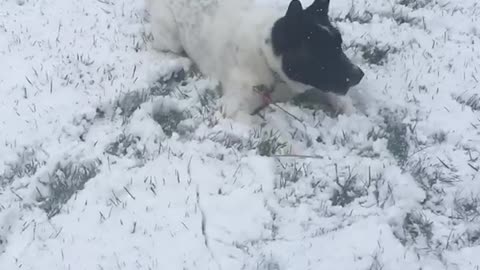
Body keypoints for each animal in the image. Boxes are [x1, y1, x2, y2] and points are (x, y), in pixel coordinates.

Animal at [146, 0, 364, 121]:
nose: (359, 75)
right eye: (322, 52)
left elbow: (337, 96)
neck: (266, 53)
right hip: (171, 38)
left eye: (339, 45)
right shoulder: (233, 109)